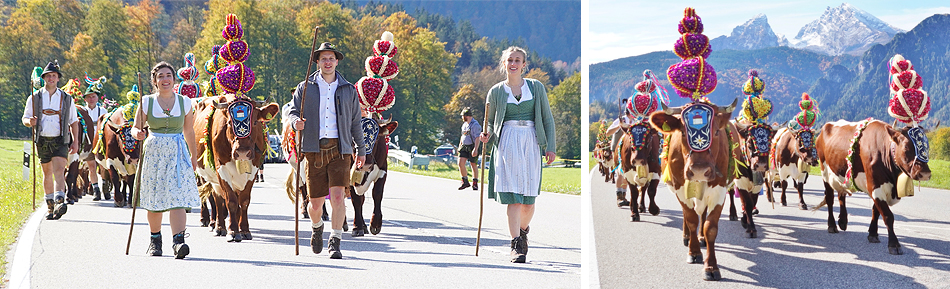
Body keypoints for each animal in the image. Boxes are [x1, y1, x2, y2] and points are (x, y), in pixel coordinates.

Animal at [193, 94, 278, 241]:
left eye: (255, 123)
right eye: (229, 123)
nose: (242, 152)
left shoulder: (253, 171)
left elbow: (243, 201)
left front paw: (244, 230)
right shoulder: (221, 170)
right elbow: (231, 201)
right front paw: (232, 231)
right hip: (203, 173)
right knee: (214, 198)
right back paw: (215, 225)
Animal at [652, 98, 740, 280]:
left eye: (716, 132)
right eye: (682, 133)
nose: (699, 170)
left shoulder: (719, 190)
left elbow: (710, 227)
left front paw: (711, 266)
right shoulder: (679, 188)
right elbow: (691, 219)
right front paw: (694, 253)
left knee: (702, 214)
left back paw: (701, 238)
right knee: (688, 214)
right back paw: (687, 237)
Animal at [816, 119, 932, 254]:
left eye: (927, 147)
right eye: (906, 147)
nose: (925, 173)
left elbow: (875, 211)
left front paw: (872, 234)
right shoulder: (876, 186)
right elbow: (887, 216)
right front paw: (894, 244)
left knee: (841, 195)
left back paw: (843, 221)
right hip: (824, 172)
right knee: (829, 199)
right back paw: (832, 225)